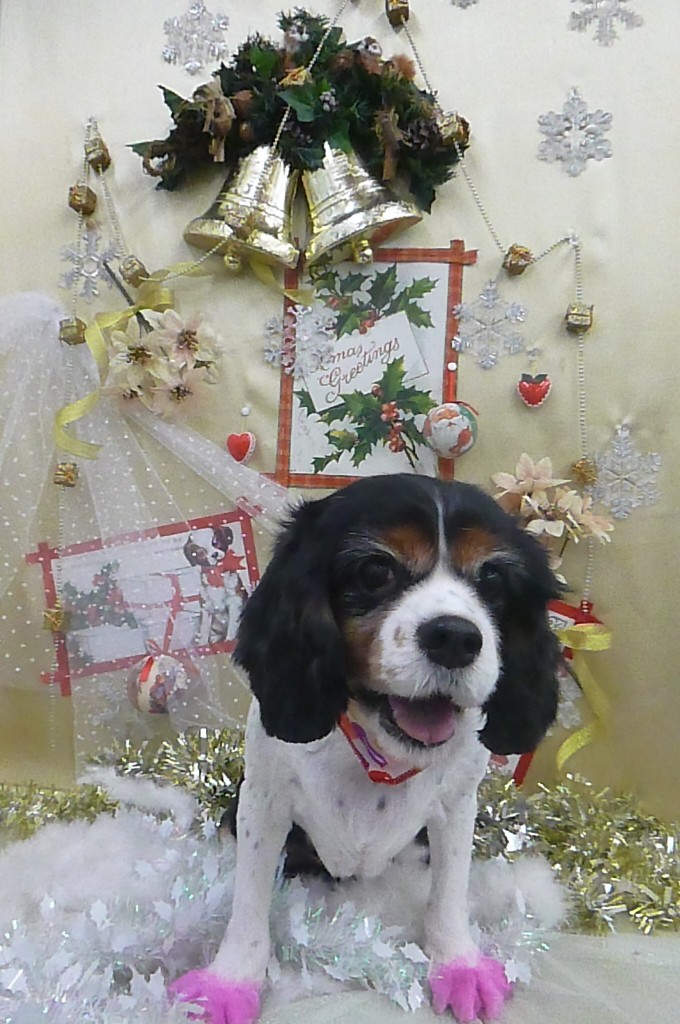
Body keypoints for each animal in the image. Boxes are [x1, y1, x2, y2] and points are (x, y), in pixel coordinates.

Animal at [169, 475, 560, 1024]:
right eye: (377, 569)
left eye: (493, 579)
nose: (455, 637)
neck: (378, 744)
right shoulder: (263, 802)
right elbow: (249, 899)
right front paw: (229, 983)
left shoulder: (456, 807)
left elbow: (450, 893)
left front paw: (458, 963)